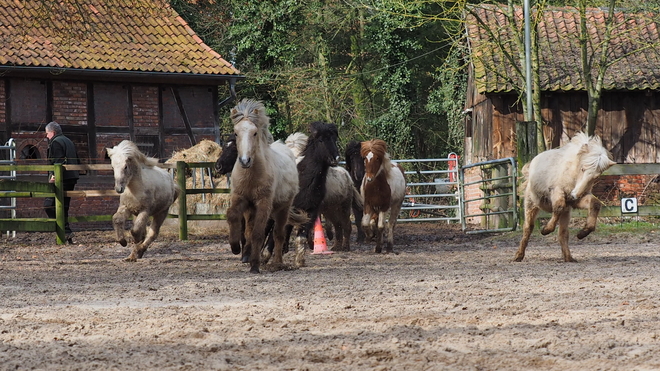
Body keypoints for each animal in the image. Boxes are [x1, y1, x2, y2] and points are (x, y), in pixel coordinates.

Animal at [226, 98, 306, 274]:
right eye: (236, 133)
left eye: (255, 133)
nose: (245, 161)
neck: (251, 176)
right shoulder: (240, 198)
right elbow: (233, 216)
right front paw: (235, 247)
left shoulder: (264, 203)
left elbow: (258, 233)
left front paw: (255, 265)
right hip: (251, 209)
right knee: (249, 230)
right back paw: (247, 254)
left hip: (282, 209)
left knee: (278, 234)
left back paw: (277, 263)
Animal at [516, 132, 620, 264]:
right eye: (582, 168)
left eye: (596, 176)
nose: (575, 194)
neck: (571, 174)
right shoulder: (557, 192)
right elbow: (559, 206)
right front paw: (546, 230)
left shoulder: (575, 201)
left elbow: (595, 203)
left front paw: (583, 233)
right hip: (532, 204)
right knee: (528, 228)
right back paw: (518, 256)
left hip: (566, 212)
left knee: (563, 233)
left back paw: (568, 258)